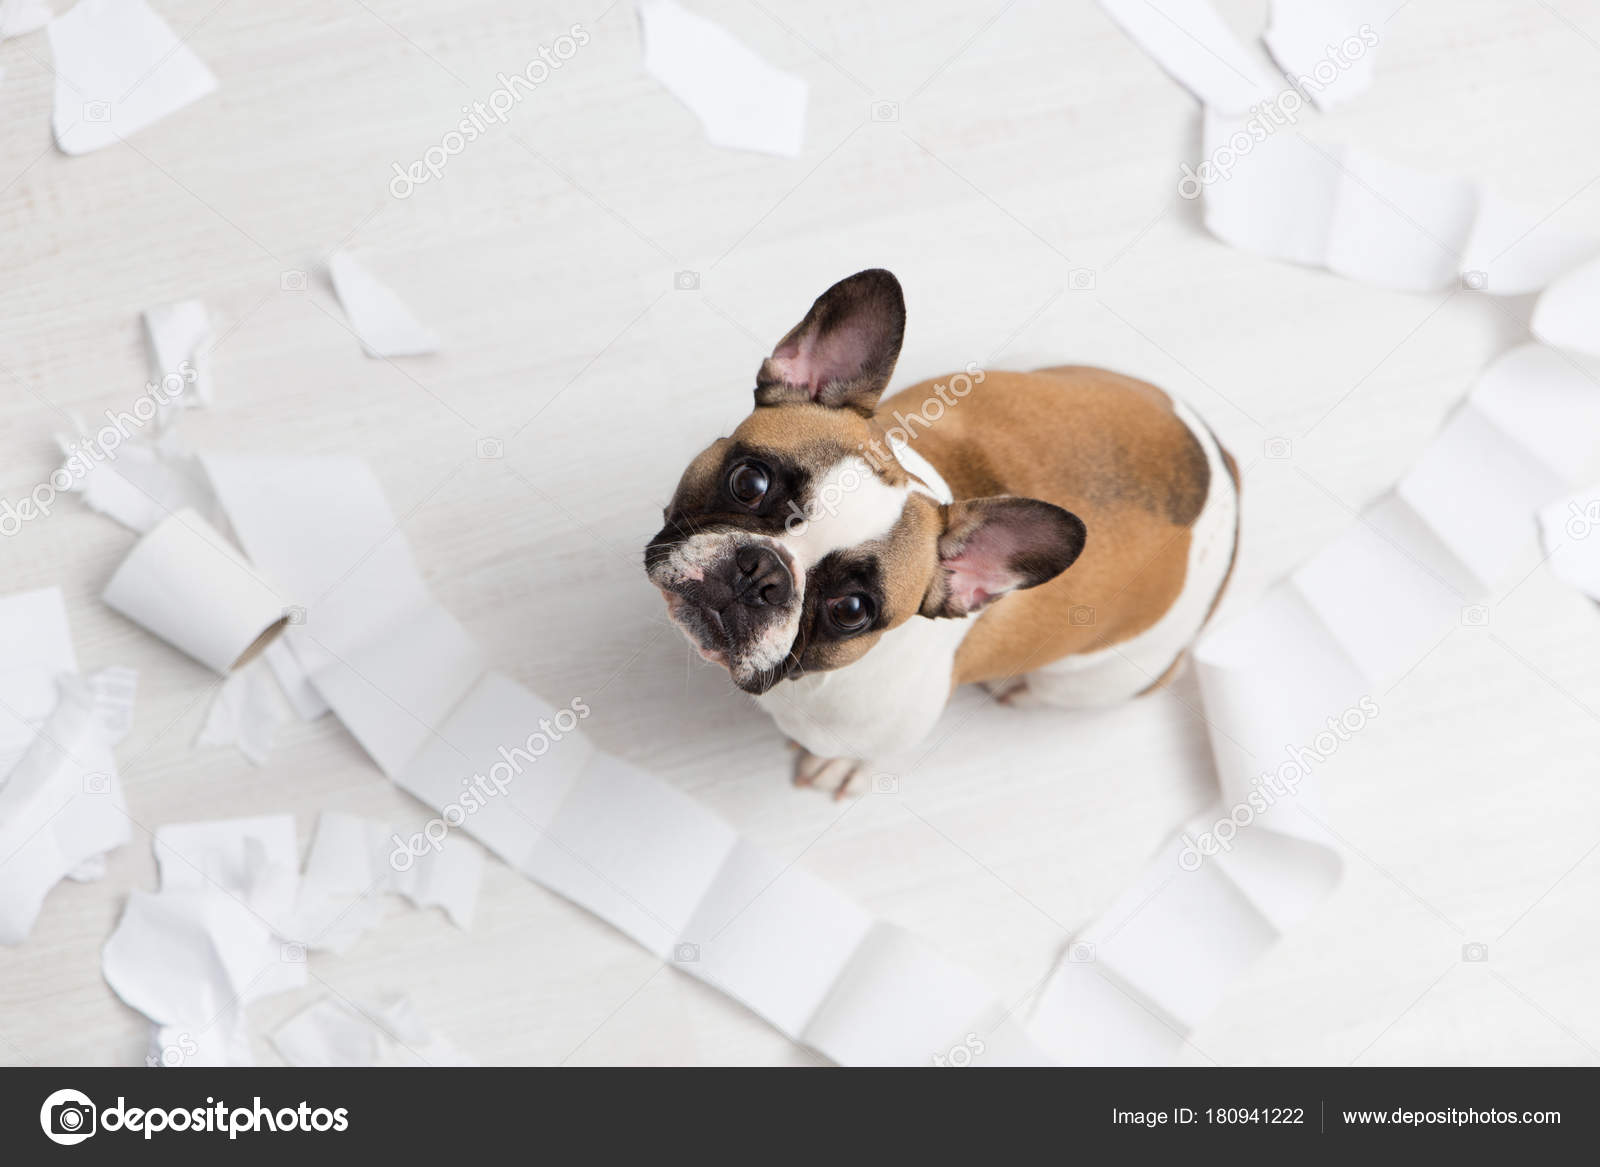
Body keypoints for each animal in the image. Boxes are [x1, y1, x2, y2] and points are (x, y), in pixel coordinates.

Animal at [643, 268, 1241, 797]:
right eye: (750, 481)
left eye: (851, 610)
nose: (761, 572)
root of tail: (1226, 475)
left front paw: (843, 766)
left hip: (1091, 681)